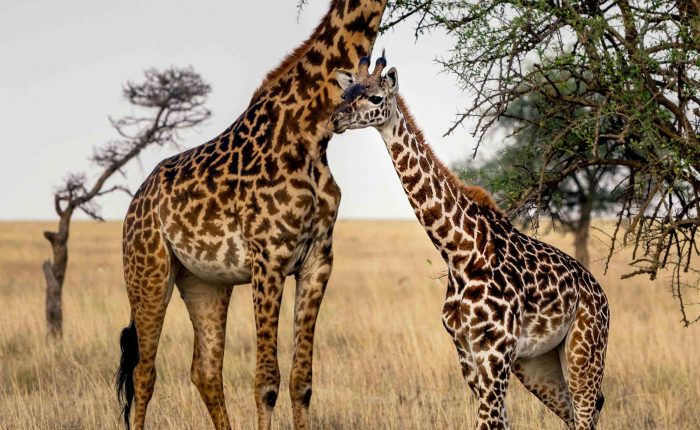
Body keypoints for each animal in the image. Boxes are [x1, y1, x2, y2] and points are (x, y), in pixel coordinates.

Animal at [115, 1, 388, 428]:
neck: (311, 133)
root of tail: (136, 203)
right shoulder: (269, 259)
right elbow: (266, 382)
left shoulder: (318, 261)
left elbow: (301, 381)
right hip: (148, 271)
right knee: (145, 371)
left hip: (204, 282)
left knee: (205, 370)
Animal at [328, 55, 608, 428]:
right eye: (346, 92)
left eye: (375, 97)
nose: (336, 119)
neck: (460, 252)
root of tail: (601, 294)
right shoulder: (467, 353)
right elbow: (498, 422)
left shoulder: (495, 352)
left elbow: (488, 422)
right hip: (537, 364)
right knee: (576, 414)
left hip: (584, 352)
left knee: (587, 411)